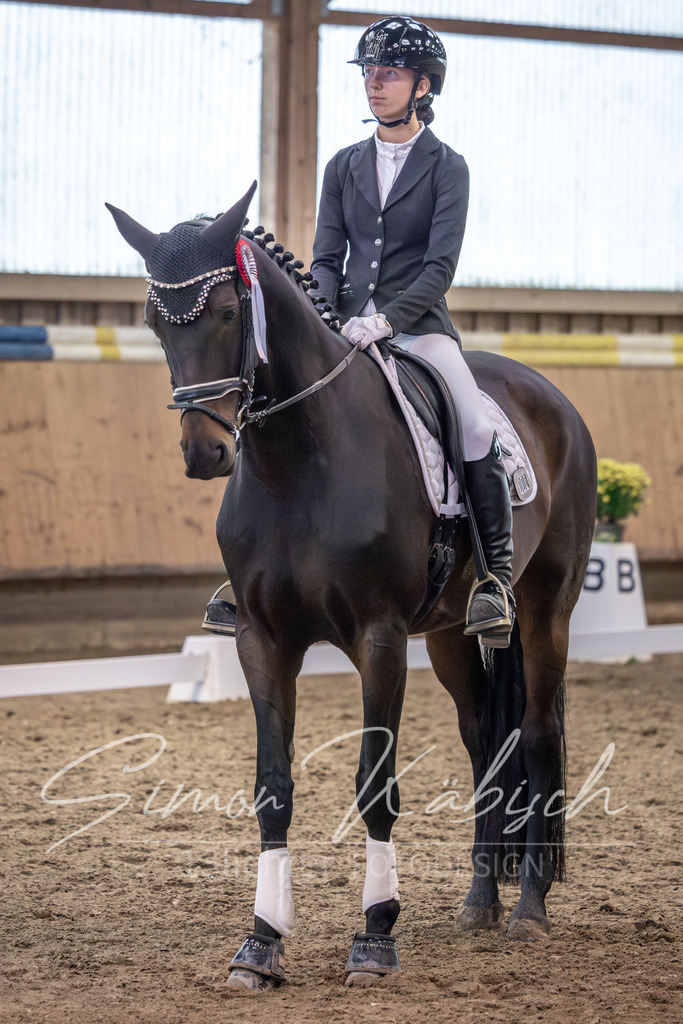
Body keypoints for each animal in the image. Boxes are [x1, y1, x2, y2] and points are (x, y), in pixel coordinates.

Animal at [108, 182, 597, 989]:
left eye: (228, 312)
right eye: (154, 320)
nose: (205, 452)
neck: (298, 459)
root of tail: (548, 395)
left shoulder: (379, 638)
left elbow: (376, 784)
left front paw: (374, 937)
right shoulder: (262, 640)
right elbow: (272, 788)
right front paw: (261, 945)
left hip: (544, 608)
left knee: (536, 735)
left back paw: (528, 909)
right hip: (451, 633)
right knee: (483, 744)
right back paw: (478, 903)